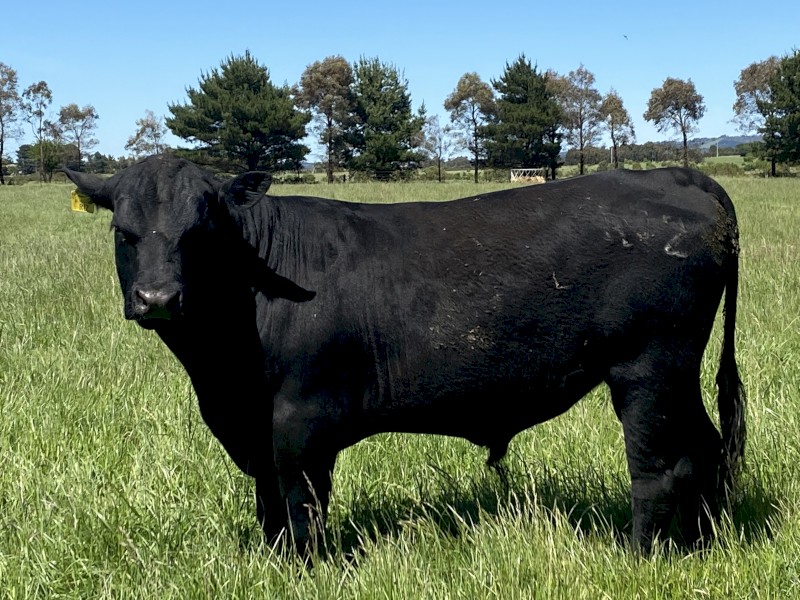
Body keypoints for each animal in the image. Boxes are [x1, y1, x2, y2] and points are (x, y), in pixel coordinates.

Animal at [64, 156, 745, 554]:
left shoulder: (301, 419)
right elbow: (268, 503)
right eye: (122, 231)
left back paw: (642, 554)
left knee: (659, 466)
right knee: (706, 448)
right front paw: (274, 562)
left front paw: (305, 568)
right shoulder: (253, 423)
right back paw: (704, 542)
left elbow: (301, 500)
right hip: (677, 375)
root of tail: (675, 175)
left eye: (200, 230)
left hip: (648, 369)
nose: (157, 298)